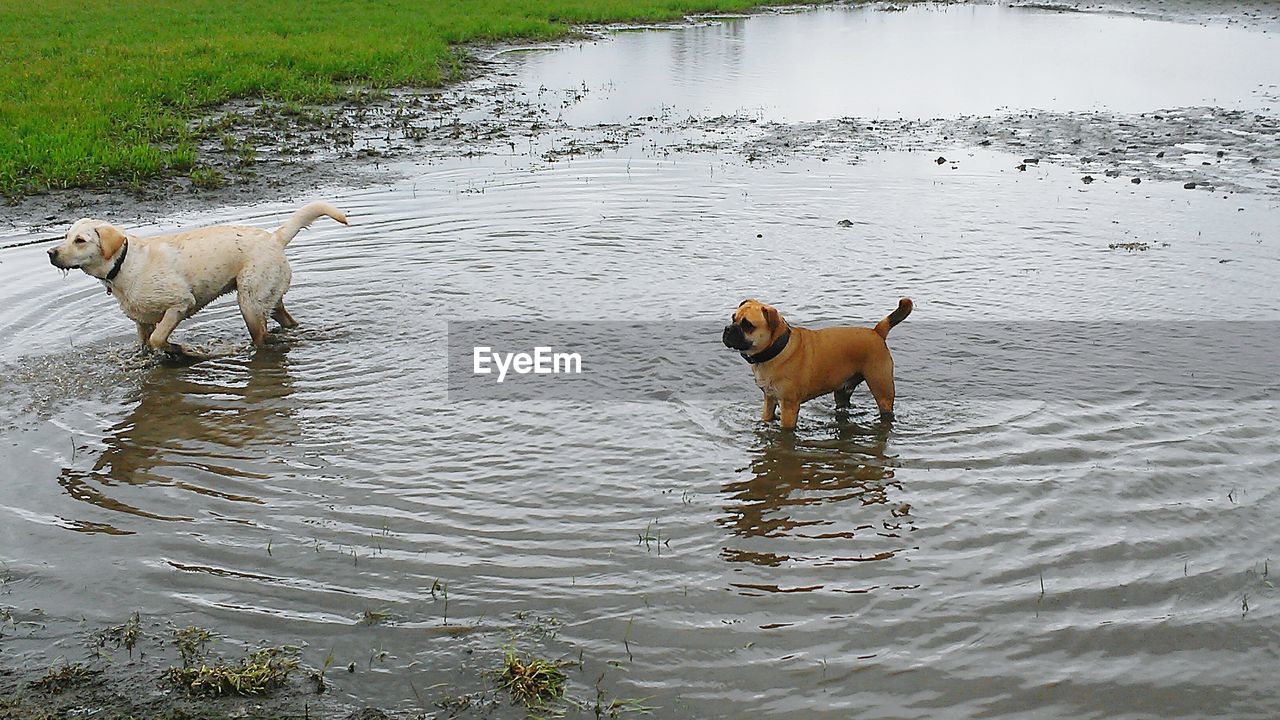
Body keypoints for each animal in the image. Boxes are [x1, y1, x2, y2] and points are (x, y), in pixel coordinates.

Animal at [49, 199, 348, 348]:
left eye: (80, 241)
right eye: (65, 236)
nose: (51, 253)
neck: (124, 264)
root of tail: (275, 238)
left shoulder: (179, 304)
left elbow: (158, 339)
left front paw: (178, 351)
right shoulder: (142, 323)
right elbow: (146, 344)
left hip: (249, 304)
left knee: (261, 337)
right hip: (269, 298)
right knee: (287, 320)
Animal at [727, 295, 916, 425]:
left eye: (747, 325)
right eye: (733, 318)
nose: (727, 328)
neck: (777, 349)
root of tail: (877, 332)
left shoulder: (789, 407)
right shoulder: (769, 399)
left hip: (882, 389)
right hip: (842, 391)